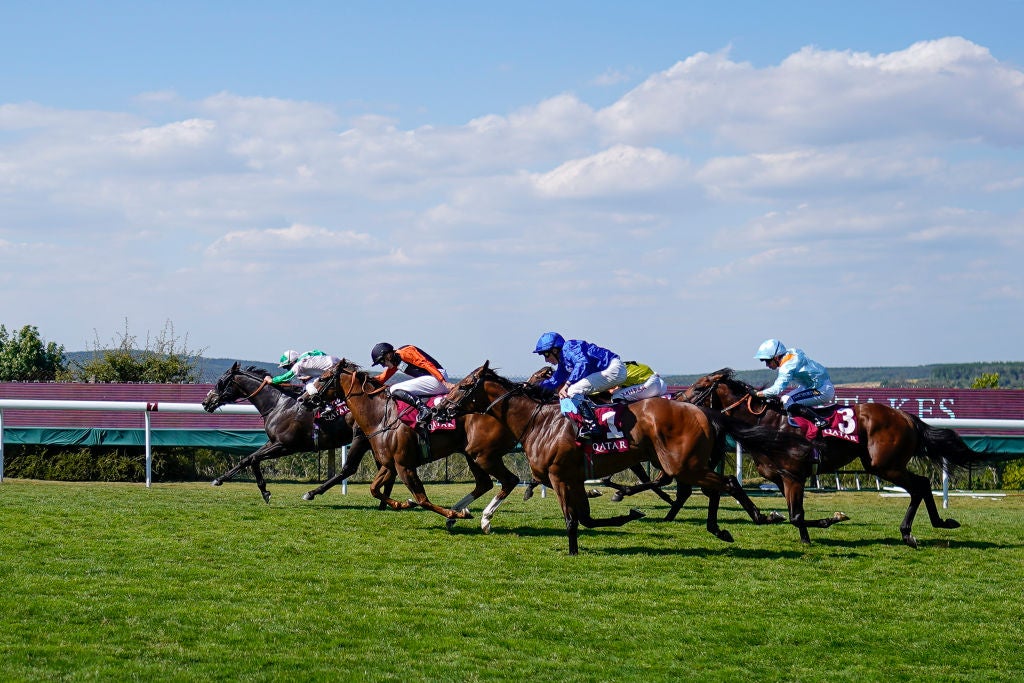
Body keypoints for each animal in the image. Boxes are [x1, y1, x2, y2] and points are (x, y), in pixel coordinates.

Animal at [198, 362, 380, 501]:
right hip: (372, 442)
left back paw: (311, 493)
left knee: (348, 469)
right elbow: (247, 459)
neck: (277, 404)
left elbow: (255, 458)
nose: (206, 402)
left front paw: (265, 491)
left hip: (360, 438)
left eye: (221, 382)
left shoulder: (286, 446)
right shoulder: (273, 441)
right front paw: (219, 479)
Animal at [301, 360, 524, 532]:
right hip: (471, 454)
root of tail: (497, 407)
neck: (380, 416)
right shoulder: (389, 465)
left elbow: (422, 499)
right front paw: (401, 503)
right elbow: (374, 489)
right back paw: (461, 513)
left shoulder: (404, 465)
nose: (303, 399)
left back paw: (483, 519)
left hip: (484, 455)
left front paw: (449, 512)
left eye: (323, 378)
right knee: (484, 484)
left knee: (510, 480)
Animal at [440, 362, 798, 557]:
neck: (538, 421)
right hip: (688, 463)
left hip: (683, 463)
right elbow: (585, 518)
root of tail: (701, 411)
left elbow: (572, 519)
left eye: (466, 385)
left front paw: (573, 550)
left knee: (726, 482)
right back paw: (718, 528)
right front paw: (629, 512)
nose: (442, 407)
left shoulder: (559, 476)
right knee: (712, 487)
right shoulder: (573, 477)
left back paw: (763, 517)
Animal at [675, 366, 978, 548]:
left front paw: (833, 518)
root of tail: (906, 416)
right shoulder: (782, 478)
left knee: (920, 485)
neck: (768, 424)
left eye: (699, 387)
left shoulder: (794, 476)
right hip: (881, 465)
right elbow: (795, 516)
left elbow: (797, 516)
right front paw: (807, 535)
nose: (677, 399)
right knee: (921, 486)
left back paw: (918, 530)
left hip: (885, 465)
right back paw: (928, 526)